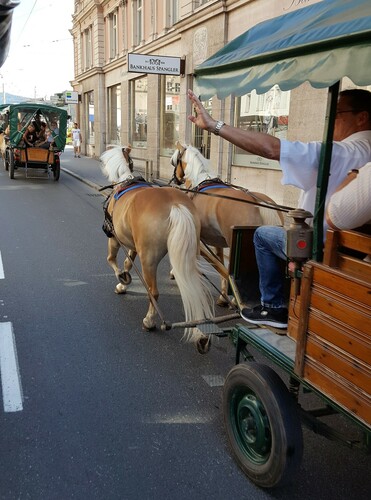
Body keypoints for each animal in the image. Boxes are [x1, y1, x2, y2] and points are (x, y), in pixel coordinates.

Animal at [171, 141, 284, 304]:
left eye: (174, 160)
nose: (175, 179)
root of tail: (259, 203)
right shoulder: (216, 240)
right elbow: (218, 263)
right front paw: (223, 295)